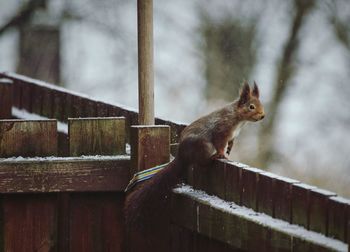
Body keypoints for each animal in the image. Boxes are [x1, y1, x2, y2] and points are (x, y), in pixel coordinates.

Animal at [124, 81, 264, 251]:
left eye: (261, 104)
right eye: (251, 106)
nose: (262, 115)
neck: (238, 119)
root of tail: (182, 156)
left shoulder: (231, 136)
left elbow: (229, 143)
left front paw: (229, 151)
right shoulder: (221, 130)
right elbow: (220, 143)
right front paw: (223, 155)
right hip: (203, 146)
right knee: (201, 162)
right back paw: (211, 158)